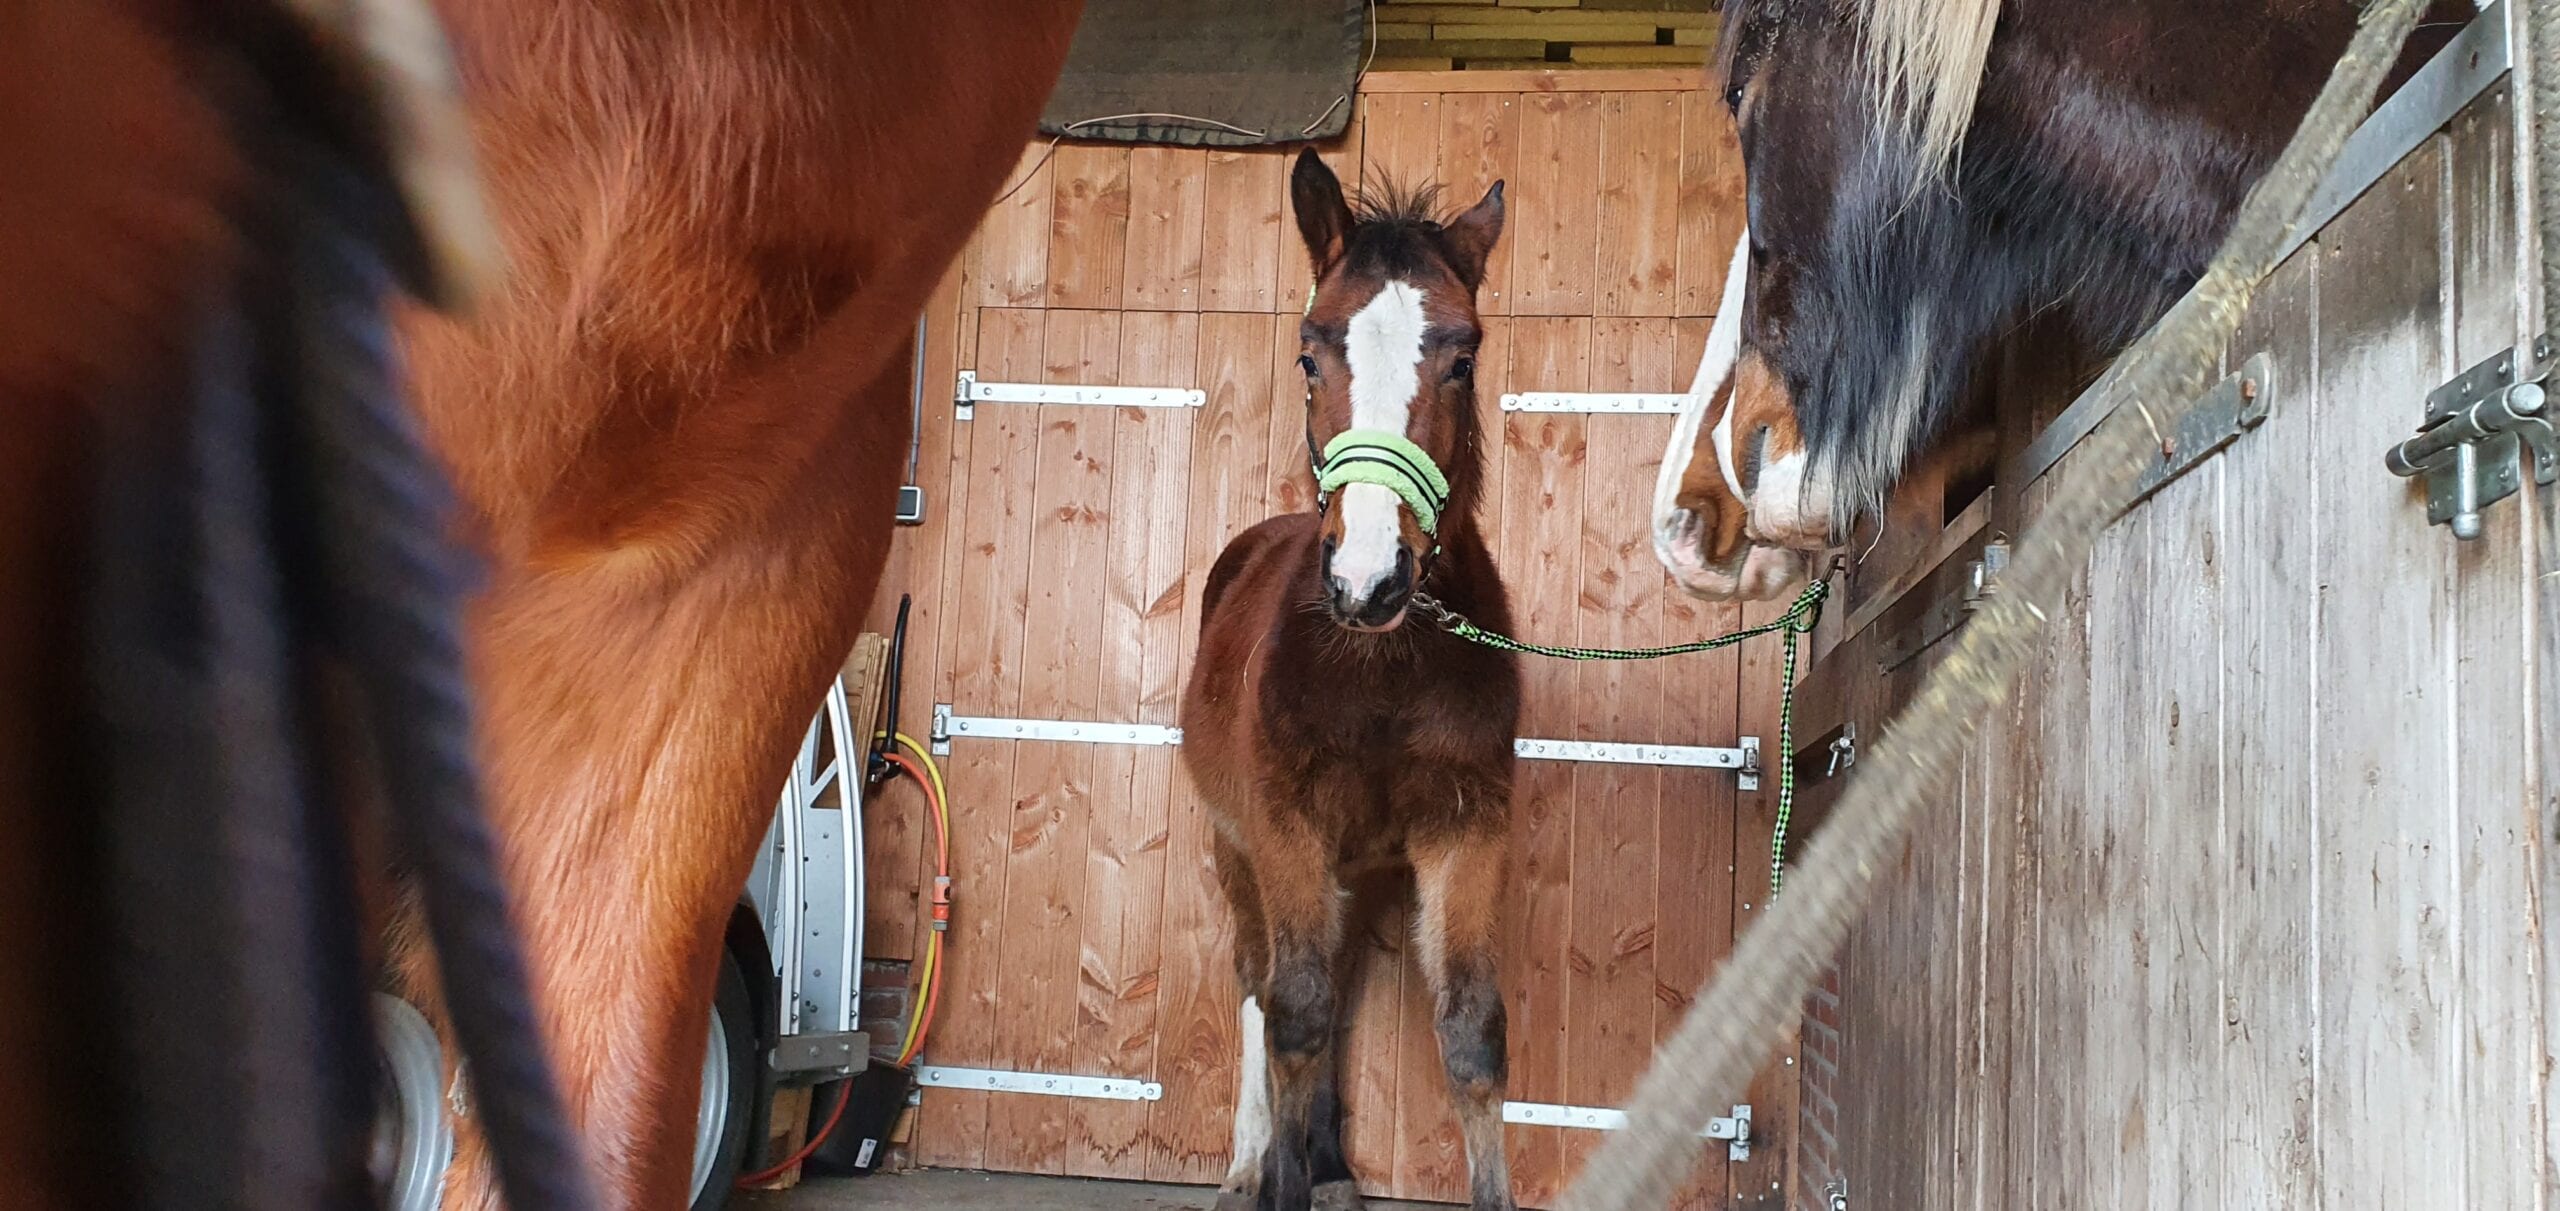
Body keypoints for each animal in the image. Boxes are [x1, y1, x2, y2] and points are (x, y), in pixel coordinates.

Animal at [1177, 148, 1515, 1208]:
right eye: (1309, 355)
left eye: (1463, 357)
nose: (1369, 578)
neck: (1377, 672)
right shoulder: (1283, 827)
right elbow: (1292, 1012)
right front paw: (1277, 1173)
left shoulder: (1464, 828)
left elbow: (1471, 1033)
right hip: (1236, 846)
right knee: (1264, 981)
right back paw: (1254, 1160)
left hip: (1356, 871)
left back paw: (1324, 1164)